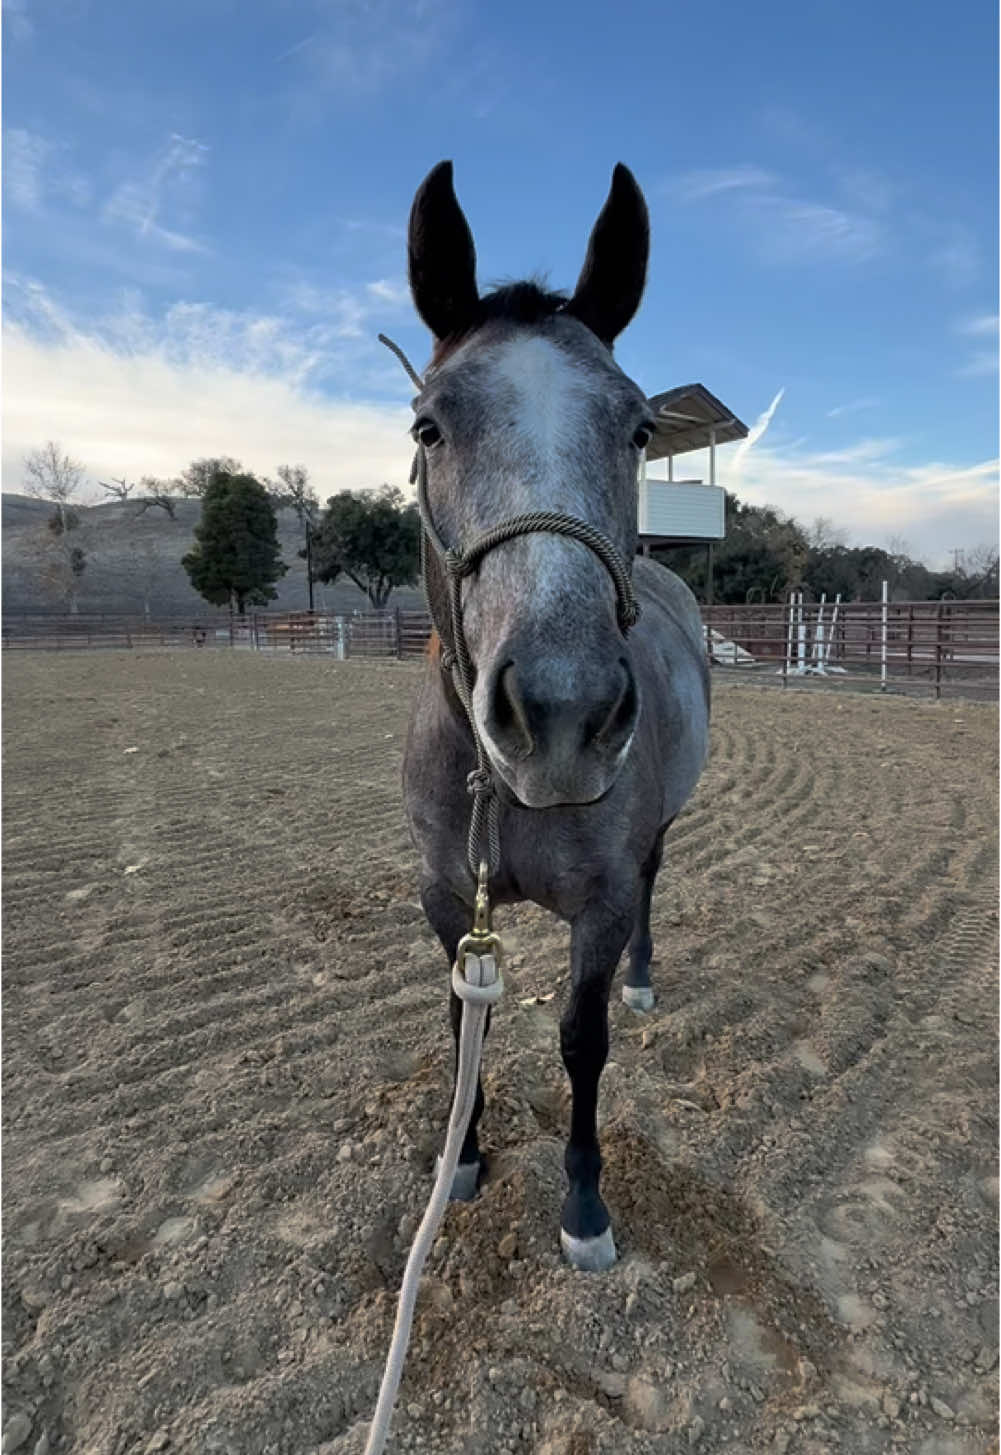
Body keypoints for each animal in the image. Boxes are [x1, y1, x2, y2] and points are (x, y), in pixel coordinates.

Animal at [401, 162, 712, 1274]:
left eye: (636, 428)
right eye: (428, 426)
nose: (562, 710)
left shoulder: (601, 901)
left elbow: (582, 1042)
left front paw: (583, 1202)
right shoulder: (449, 898)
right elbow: (466, 1026)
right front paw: (459, 1158)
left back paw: (644, 978)